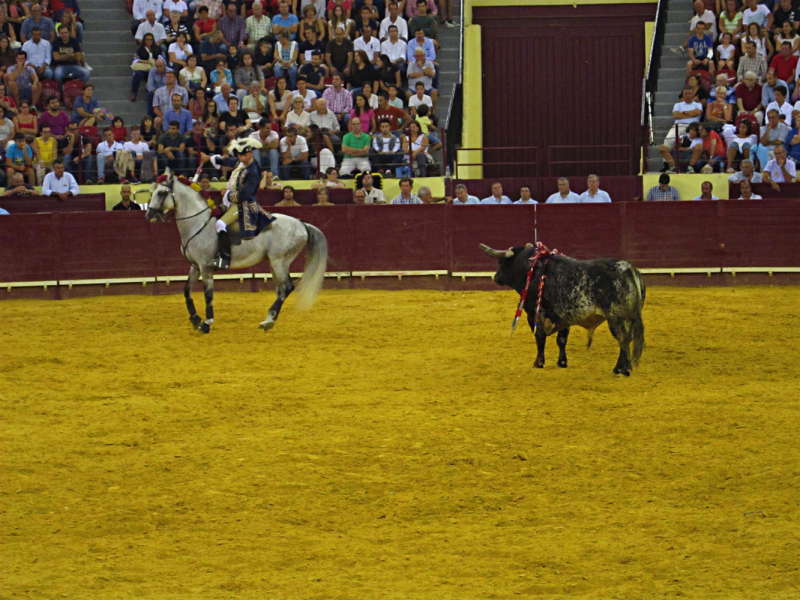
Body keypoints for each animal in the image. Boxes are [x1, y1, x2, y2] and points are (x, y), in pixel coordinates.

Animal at [147, 171, 328, 332]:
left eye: (161, 192)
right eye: (152, 190)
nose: (149, 214)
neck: (198, 223)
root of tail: (301, 223)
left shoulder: (206, 266)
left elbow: (208, 294)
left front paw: (207, 323)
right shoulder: (195, 266)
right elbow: (186, 290)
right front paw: (195, 319)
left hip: (280, 261)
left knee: (287, 287)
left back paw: (269, 319)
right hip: (274, 262)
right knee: (281, 289)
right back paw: (268, 321)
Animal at [482, 244, 644, 376]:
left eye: (502, 263)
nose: (494, 277)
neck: (532, 268)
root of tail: (626, 267)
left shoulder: (533, 313)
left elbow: (540, 337)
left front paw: (538, 363)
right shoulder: (564, 316)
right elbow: (561, 339)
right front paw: (562, 363)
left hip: (616, 318)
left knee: (623, 340)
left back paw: (623, 369)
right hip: (629, 319)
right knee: (626, 339)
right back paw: (620, 368)